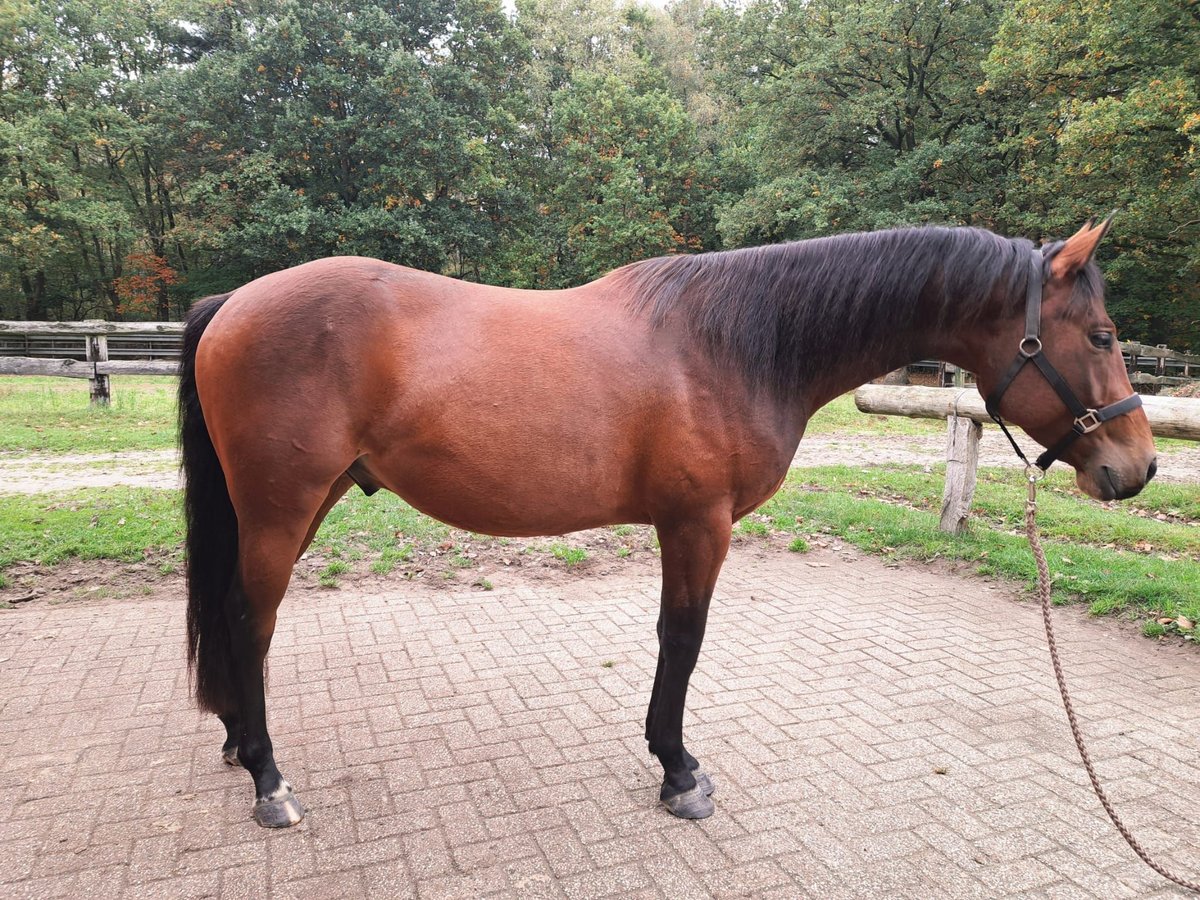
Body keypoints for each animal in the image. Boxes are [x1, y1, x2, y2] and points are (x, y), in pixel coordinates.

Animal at [178, 217, 1156, 828]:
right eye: (1102, 335)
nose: (1137, 467)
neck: (734, 343)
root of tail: (233, 305)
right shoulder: (697, 524)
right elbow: (681, 639)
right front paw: (679, 773)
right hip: (283, 506)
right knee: (251, 620)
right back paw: (269, 779)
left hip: (307, 501)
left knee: (234, 618)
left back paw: (235, 743)